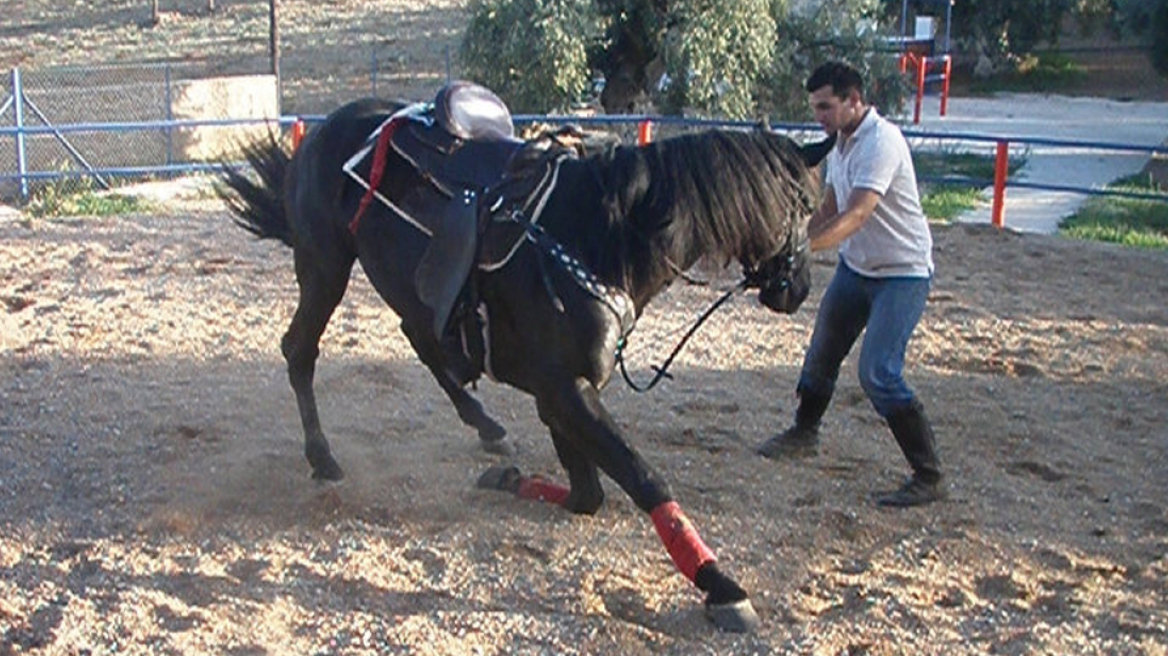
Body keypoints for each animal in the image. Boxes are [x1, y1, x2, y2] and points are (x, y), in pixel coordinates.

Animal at [219, 89, 836, 630]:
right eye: (804, 206)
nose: (799, 289)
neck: (598, 237)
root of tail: (327, 129)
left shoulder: (560, 392)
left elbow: (588, 493)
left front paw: (508, 478)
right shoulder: (564, 389)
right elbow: (642, 477)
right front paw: (719, 584)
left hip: (403, 284)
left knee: (422, 340)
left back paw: (486, 427)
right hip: (325, 264)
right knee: (301, 350)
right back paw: (323, 457)